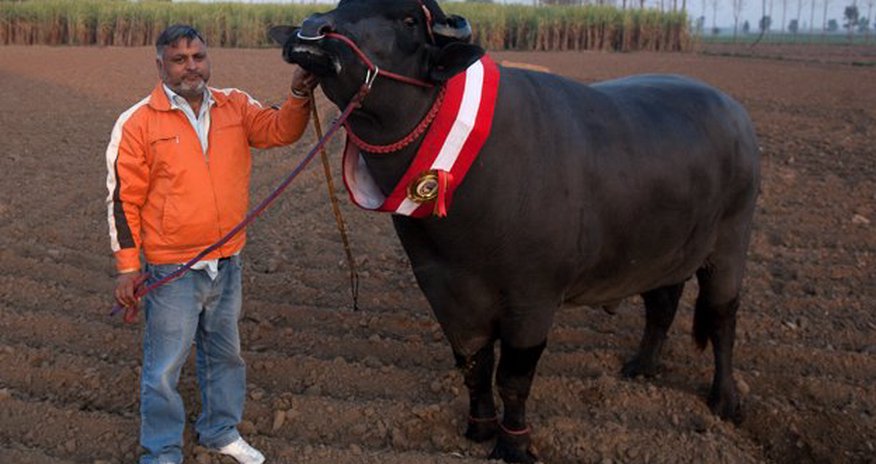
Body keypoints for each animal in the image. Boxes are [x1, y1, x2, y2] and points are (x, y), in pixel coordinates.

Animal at [270, 1, 760, 462]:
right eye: (341, 5)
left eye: (408, 20)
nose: (312, 31)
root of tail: (735, 113)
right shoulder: (444, 290)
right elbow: (473, 364)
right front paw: (479, 427)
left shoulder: (532, 298)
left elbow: (514, 377)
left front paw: (513, 445)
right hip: (663, 252)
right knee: (662, 305)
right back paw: (642, 366)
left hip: (729, 246)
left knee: (722, 319)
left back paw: (725, 400)